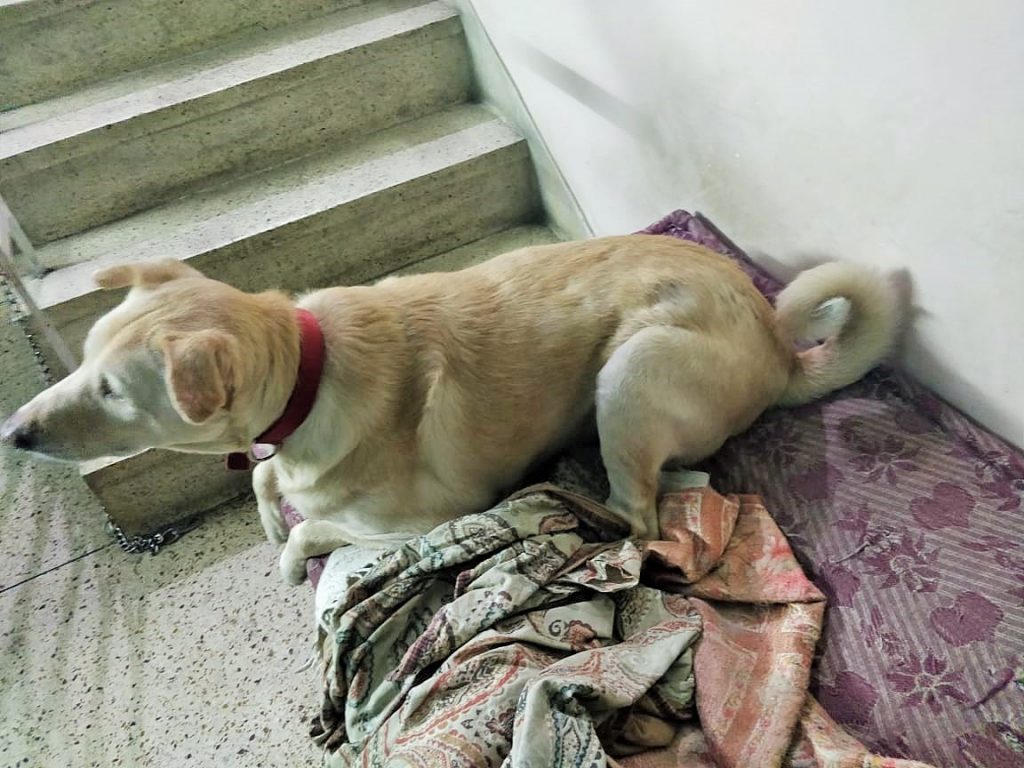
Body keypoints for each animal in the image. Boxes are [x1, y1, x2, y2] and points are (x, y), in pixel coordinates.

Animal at [0, 236, 897, 581]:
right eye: (87, 358)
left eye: (113, 393)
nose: (15, 432)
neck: (306, 375)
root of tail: (778, 346)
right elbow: (264, 483)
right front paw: (265, 509)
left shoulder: (419, 519)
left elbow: (318, 528)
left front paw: (289, 551)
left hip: (630, 372)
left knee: (639, 516)